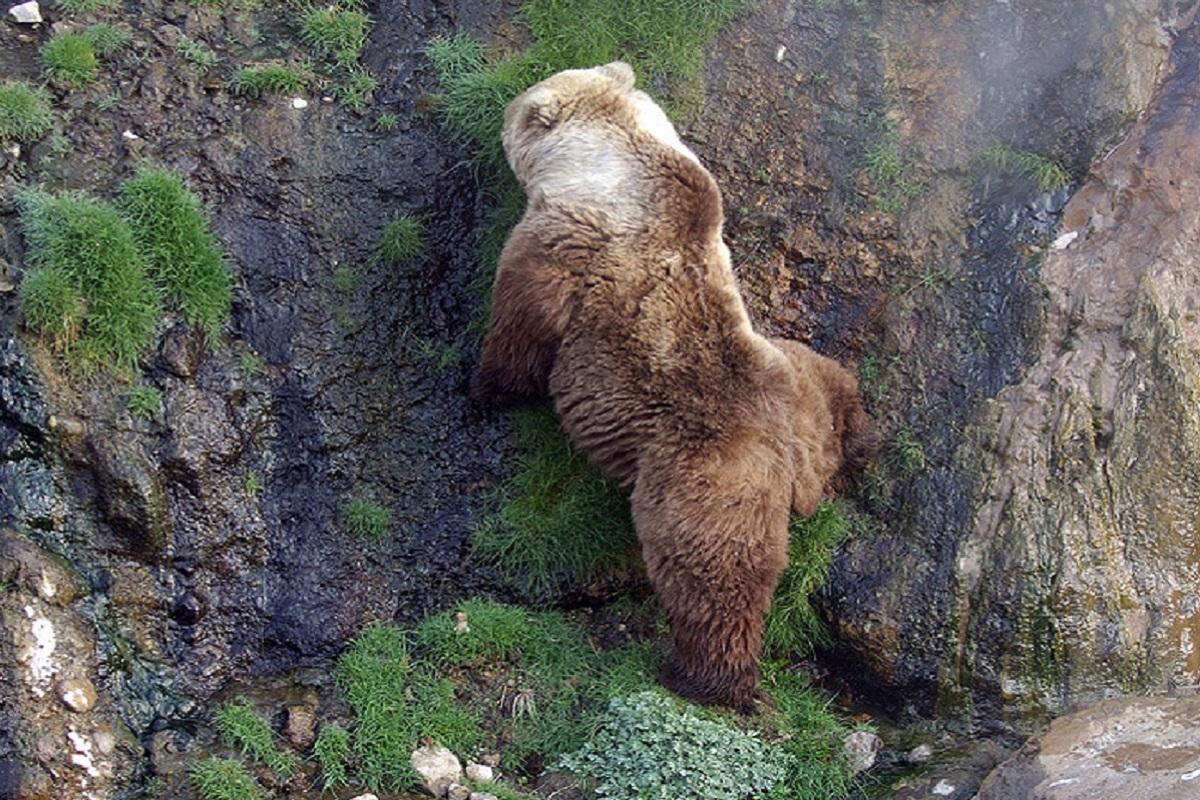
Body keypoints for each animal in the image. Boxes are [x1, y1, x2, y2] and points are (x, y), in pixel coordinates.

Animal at [468, 64, 873, 714]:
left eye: (516, 110)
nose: (503, 110)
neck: (612, 166)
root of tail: (800, 472)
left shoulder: (565, 241)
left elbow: (522, 322)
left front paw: (486, 385)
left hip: (704, 482)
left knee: (713, 579)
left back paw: (704, 678)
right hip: (793, 378)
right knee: (827, 376)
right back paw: (862, 435)